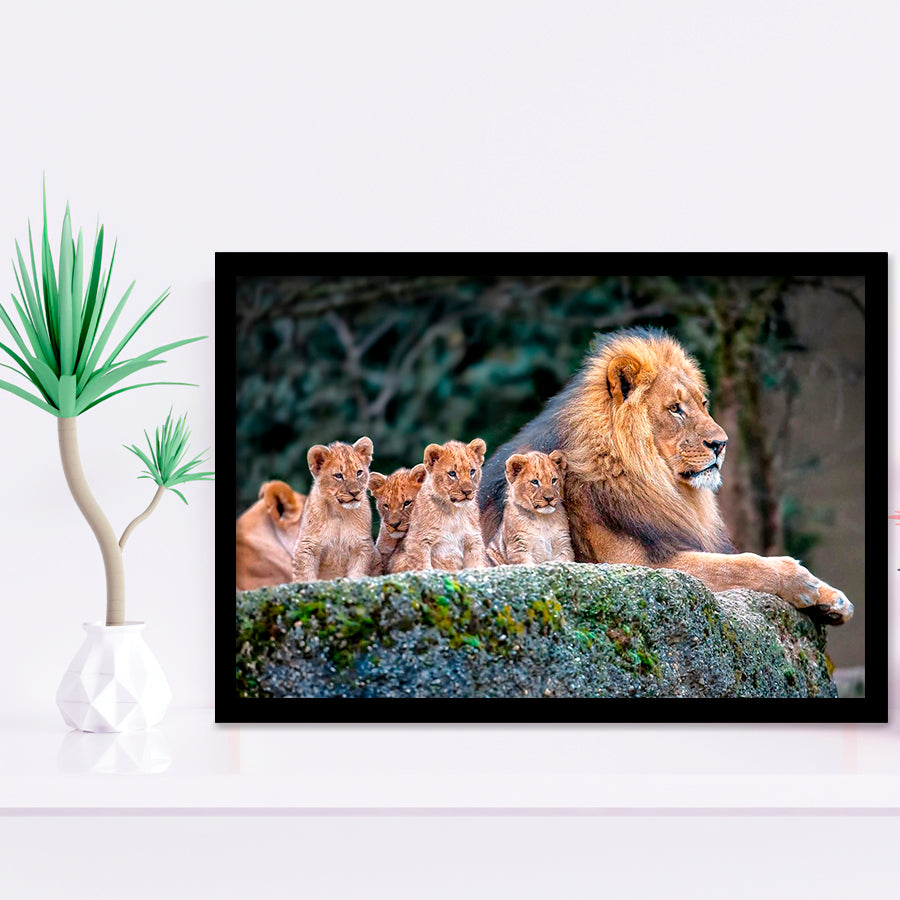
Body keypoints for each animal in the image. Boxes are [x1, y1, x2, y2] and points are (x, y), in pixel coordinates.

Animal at [291, 437, 381, 582]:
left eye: (359, 473)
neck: (340, 512)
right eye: (339, 475)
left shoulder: (361, 545)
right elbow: (305, 575)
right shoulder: (307, 545)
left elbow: (357, 573)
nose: (355, 492)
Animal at [392, 439, 489, 572]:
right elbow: (423, 566)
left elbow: (477, 565)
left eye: (472, 471)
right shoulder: (418, 540)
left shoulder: (473, 540)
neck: (455, 512)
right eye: (452, 473)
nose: (468, 491)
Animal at [480, 327, 852, 624]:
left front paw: (832, 597)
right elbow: (737, 565)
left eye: (703, 404)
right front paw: (799, 578)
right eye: (675, 409)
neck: (655, 482)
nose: (721, 444)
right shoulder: (633, 565)